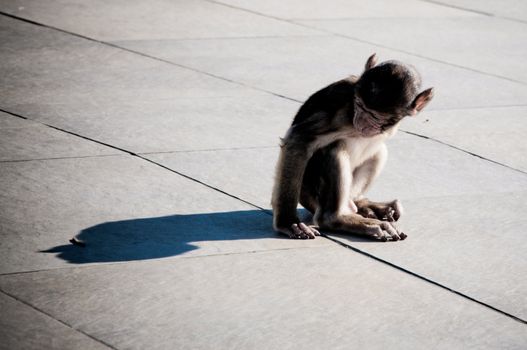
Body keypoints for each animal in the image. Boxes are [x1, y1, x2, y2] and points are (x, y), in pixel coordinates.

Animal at [272, 54, 434, 241]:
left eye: (376, 116)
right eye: (359, 106)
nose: (361, 123)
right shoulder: (339, 110)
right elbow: (298, 140)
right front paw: (288, 222)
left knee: (379, 152)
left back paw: (362, 204)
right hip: (311, 194)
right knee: (334, 150)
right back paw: (338, 218)